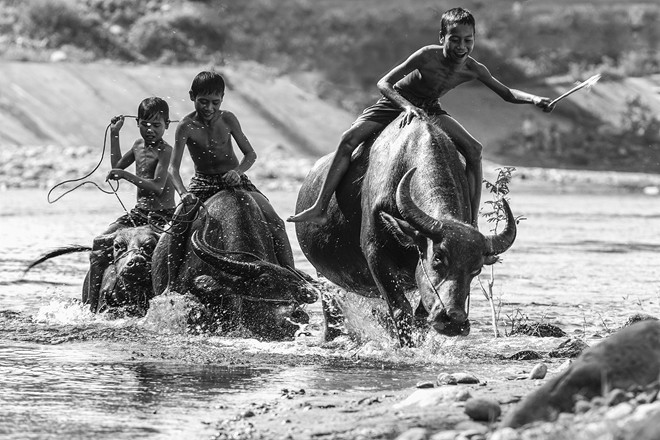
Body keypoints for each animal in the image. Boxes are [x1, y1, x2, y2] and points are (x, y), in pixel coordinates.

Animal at [296, 116, 520, 348]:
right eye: (438, 257)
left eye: (476, 269)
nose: (455, 320)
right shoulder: (375, 254)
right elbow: (400, 309)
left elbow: (420, 316)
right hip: (323, 274)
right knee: (331, 308)